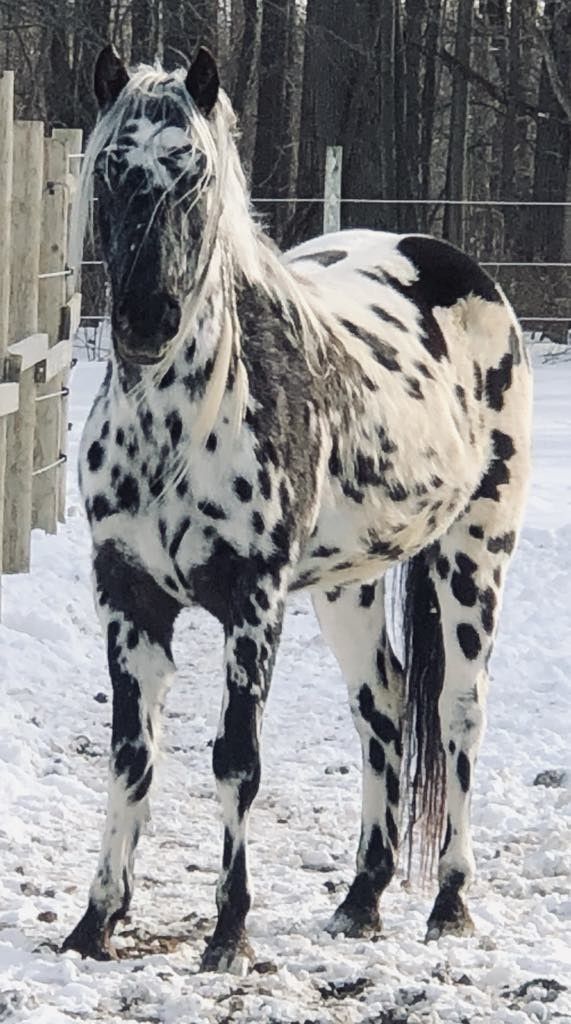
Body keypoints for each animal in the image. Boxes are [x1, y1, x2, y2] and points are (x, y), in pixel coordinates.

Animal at [62, 45, 532, 974]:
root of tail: (456, 268)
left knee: (457, 711)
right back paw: (361, 898)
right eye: (108, 171)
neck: (177, 426)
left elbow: (236, 759)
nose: (145, 320)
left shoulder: (252, 602)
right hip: (350, 582)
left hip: (474, 555)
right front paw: (96, 921)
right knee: (383, 704)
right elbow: (131, 755)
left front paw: (228, 932)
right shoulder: (128, 598)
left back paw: (449, 903)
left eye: (195, 173)